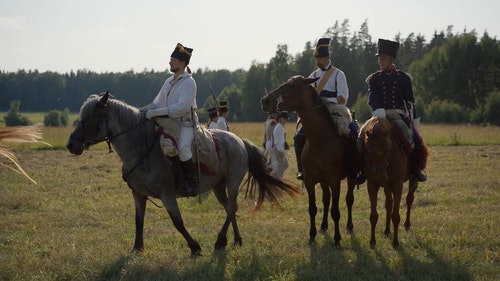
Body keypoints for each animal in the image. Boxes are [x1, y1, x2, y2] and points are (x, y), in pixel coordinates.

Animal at [66, 92, 300, 256]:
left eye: (91, 116)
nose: (71, 145)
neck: (140, 148)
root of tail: (239, 141)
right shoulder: (138, 195)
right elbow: (138, 220)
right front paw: (137, 248)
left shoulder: (167, 195)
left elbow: (177, 222)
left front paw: (195, 247)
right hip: (219, 186)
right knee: (229, 208)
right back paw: (235, 240)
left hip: (232, 182)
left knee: (232, 208)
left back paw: (220, 241)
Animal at [260, 75, 358, 245]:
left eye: (292, 86)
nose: (265, 100)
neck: (321, 142)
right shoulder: (310, 181)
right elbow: (313, 208)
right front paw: (312, 235)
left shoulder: (334, 180)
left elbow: (336, 211)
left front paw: (337, 239)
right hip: (323, 182)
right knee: (326, 199)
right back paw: (324, 226)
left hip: (350, 178)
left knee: (349, 199)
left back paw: (349, 226)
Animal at [358, 116, 428, 247]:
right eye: (369, 151)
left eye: (389, 150)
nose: (381, 177)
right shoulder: (372, 185)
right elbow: (374, 215)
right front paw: (372, 242)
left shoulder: (397, 185)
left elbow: (395, 216)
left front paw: (395, 242)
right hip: (387, 186)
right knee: (389, 204)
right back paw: (387, 230)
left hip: (411, 180)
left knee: (409, 199)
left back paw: (407, 224)